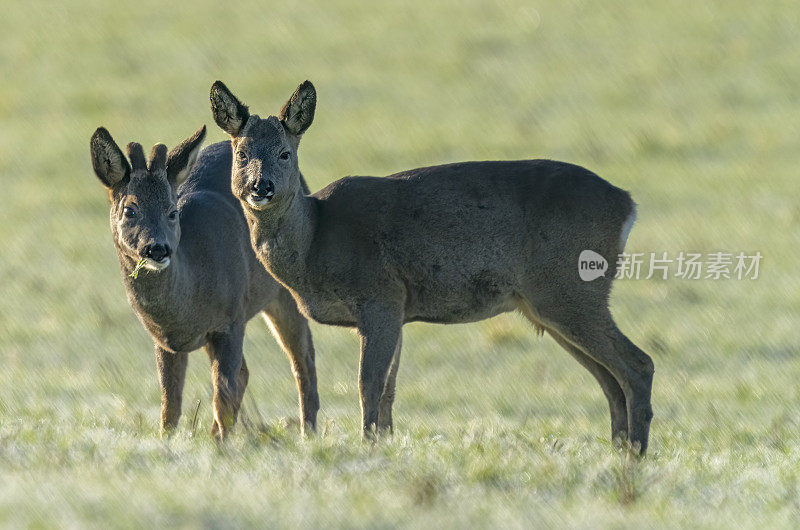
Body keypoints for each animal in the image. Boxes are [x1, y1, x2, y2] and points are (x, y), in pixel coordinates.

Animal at [90, 125, 318, 438]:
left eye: (172, 211)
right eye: (129, 210)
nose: (157, 249)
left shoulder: (230, 321)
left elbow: (221, 398)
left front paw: (223, 444)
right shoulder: (163, 340)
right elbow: (170, 407)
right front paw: (169, 441)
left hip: (283, 292)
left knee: (302, 359)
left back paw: (308, 434)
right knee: (245, 373)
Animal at [212, 80, 656, 452]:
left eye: (285, 153)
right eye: (242, 153)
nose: (261, 187)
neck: (316, 241)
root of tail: (628, 205)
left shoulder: (380, 296)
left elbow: (368, 383)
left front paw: (367, 444)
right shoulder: (399, 309)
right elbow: (389, 390)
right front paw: (384, 444)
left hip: (570, 288)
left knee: (637, 365)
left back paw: (635, 455)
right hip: (548, 304)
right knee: (610, 378)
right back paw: (620, 450)